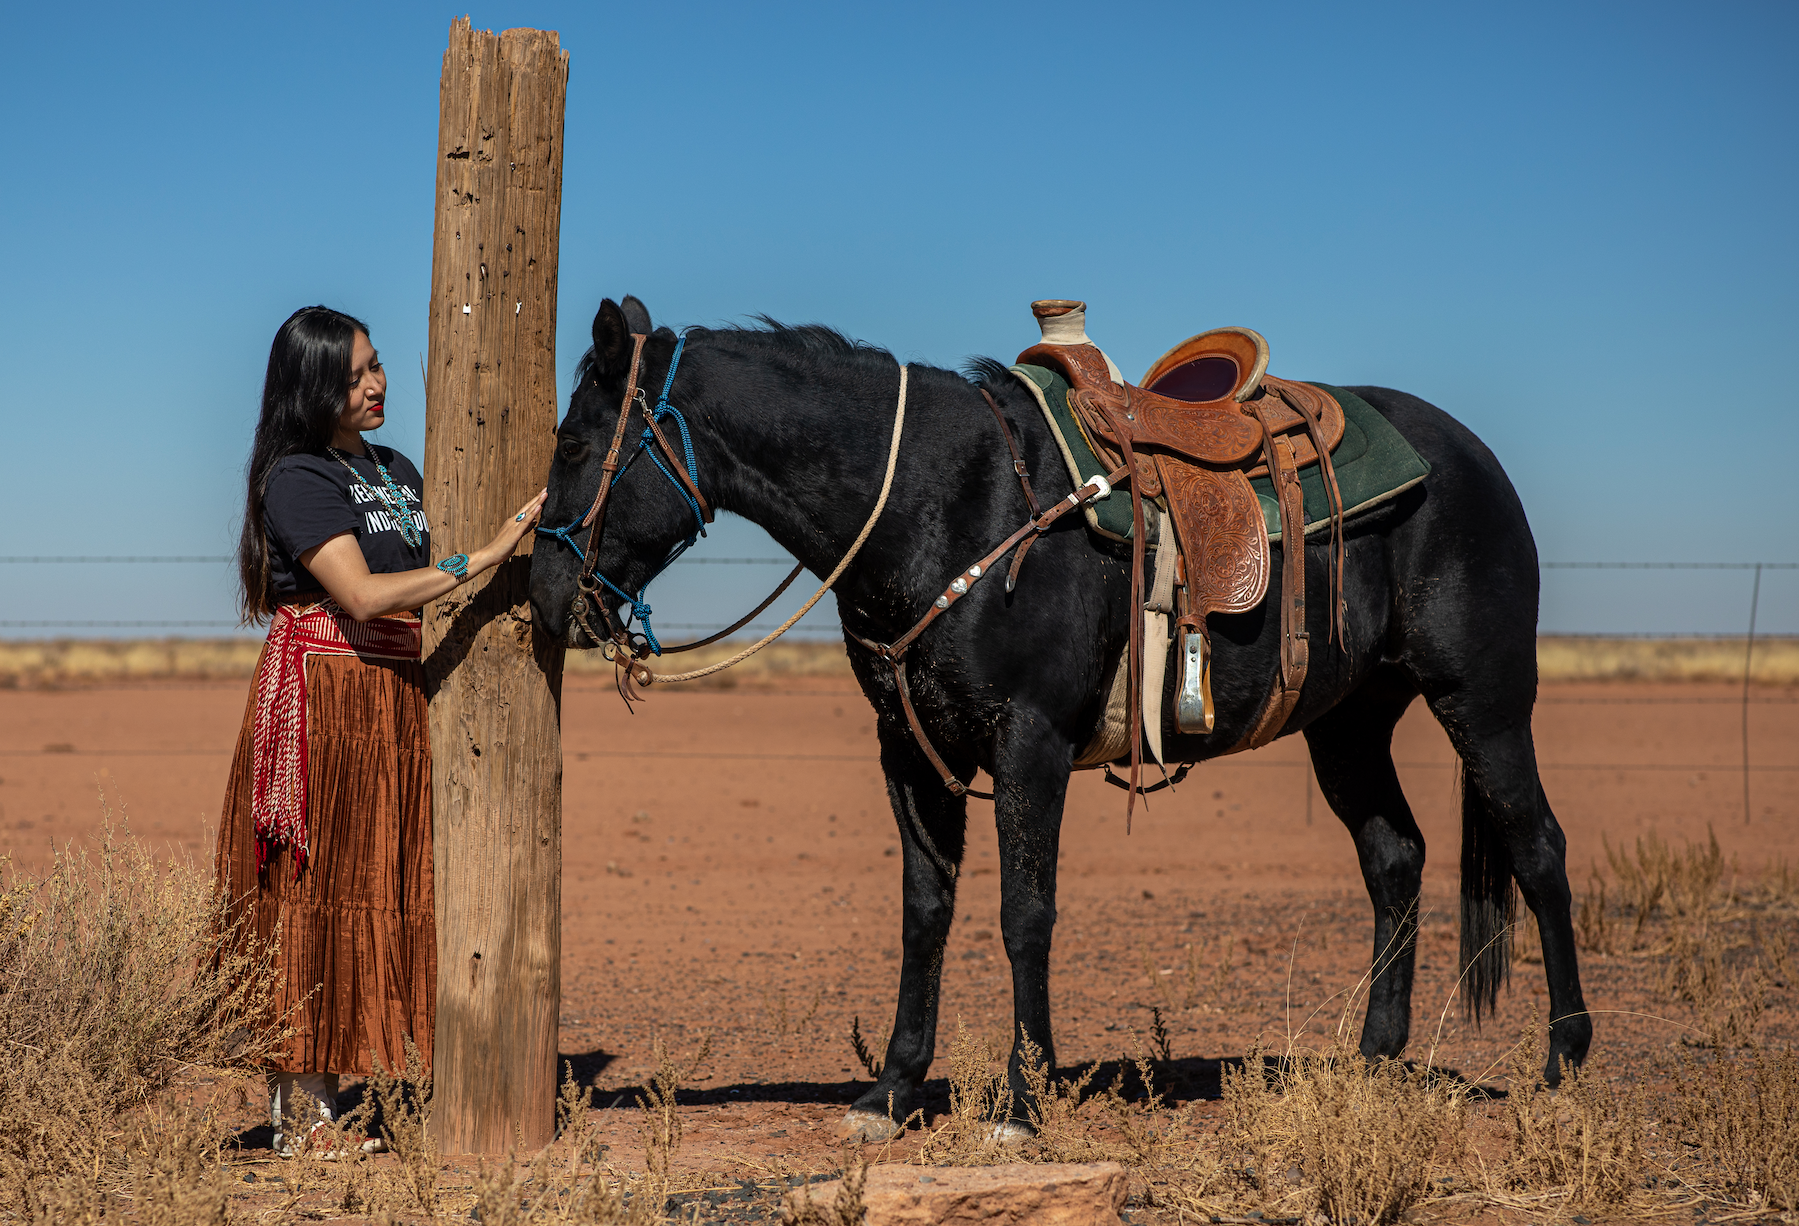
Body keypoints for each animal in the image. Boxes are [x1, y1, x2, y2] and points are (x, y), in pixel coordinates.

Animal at [528, 293, 1590, 1130]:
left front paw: (1023, 1097)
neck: (950, 502)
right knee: (1393, 858)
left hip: (1483, 699)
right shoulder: (909, 750)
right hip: (1348, 722)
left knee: (1537, 848)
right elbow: (924, 913)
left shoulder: (1027, 744)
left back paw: (1563, 1063)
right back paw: (1371, 1060)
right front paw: (893, 1092)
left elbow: (1022, 914)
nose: (542, 595)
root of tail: (1470, 456)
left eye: (574, 443)